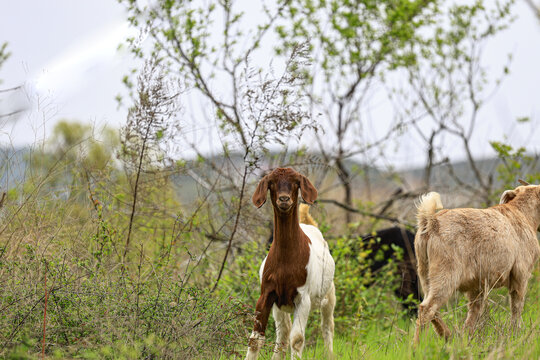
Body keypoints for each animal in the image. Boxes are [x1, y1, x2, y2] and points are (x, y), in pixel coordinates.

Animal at [247, 169, 336, 360]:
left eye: (296, 183)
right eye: (271, 183)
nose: (284, 199)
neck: (286, 262)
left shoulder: (303, 298)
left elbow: (297, 339)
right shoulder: (267, 294)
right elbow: (255, 339)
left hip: (329, 293)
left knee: (327, 326)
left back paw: (330, 354)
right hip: (279, 306)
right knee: (283, 332)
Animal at [414, 183, 540, 344]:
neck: (524, 214)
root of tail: (430, 221)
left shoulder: (477, 285)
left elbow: (473, 312)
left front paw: (465, 339)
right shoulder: (521, 274)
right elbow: (517, 306)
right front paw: (515, 334)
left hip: (425, 273)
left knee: (430, 307)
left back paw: (448, 335)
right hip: (446, 273)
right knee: (427, 308)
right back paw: (417, 345)